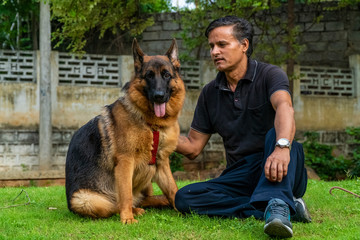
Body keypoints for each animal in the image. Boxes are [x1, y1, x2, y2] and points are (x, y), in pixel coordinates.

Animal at [64, 38, 186, 224]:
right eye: (149, 75)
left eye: (166, 75)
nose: (158, 96)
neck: (152, 124)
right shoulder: (125, 162)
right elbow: (126, 193)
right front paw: (127, 218)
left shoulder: (161, 163)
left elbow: (173, 190)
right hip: (85, 200)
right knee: (116, 204)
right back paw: (133, 211)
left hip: (147, 182)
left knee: (143, 198)